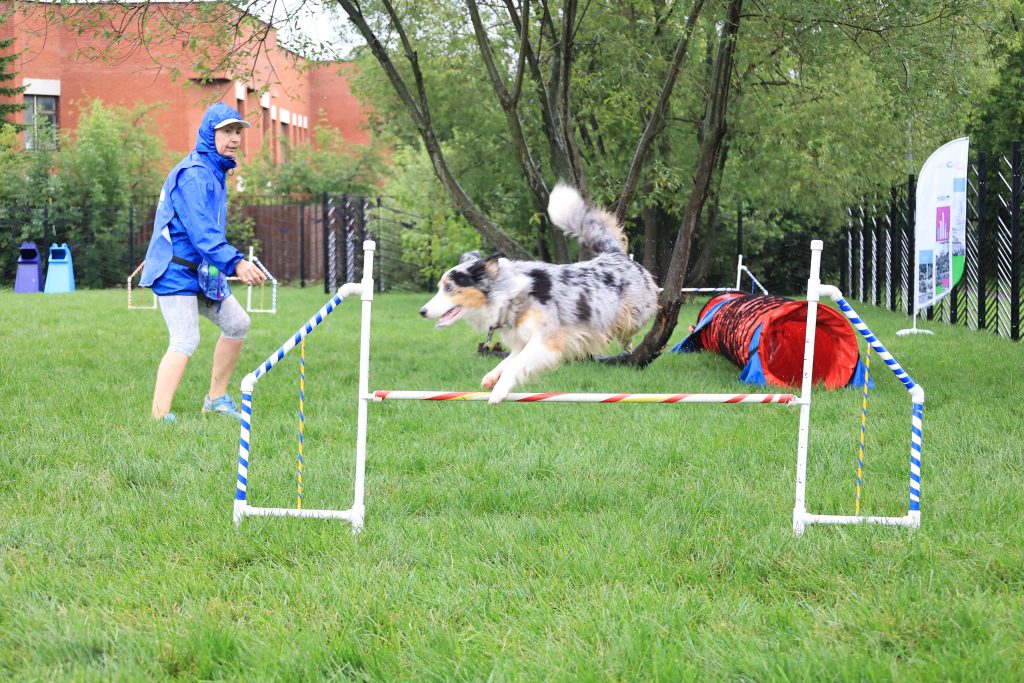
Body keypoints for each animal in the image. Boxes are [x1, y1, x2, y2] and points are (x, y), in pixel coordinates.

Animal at [419, 184, 659, 403]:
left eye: (449, 288)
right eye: (440, 287)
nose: (422, 311)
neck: (509, 294)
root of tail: (614, 254)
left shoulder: (547, 341)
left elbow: (515, 365)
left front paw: (499, 391)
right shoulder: (523, 341)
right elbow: (508, 361)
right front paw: (491, 377)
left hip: (634, 314)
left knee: (632, 327)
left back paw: (627, 341)